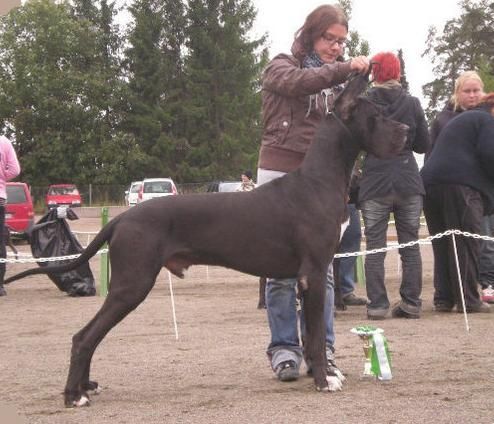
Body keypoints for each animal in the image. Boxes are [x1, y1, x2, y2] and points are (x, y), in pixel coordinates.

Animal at [5, 73, 407, 407]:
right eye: (377, 115)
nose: (406, 129)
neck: (319, 179)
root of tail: (121, 218)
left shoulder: (310, 276)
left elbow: (312, 337)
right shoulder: (313, 274)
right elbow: (315, 338)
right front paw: (324, 381)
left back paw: (85, 386)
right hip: (131, 285)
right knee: (84, 336)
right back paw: (73, 395)